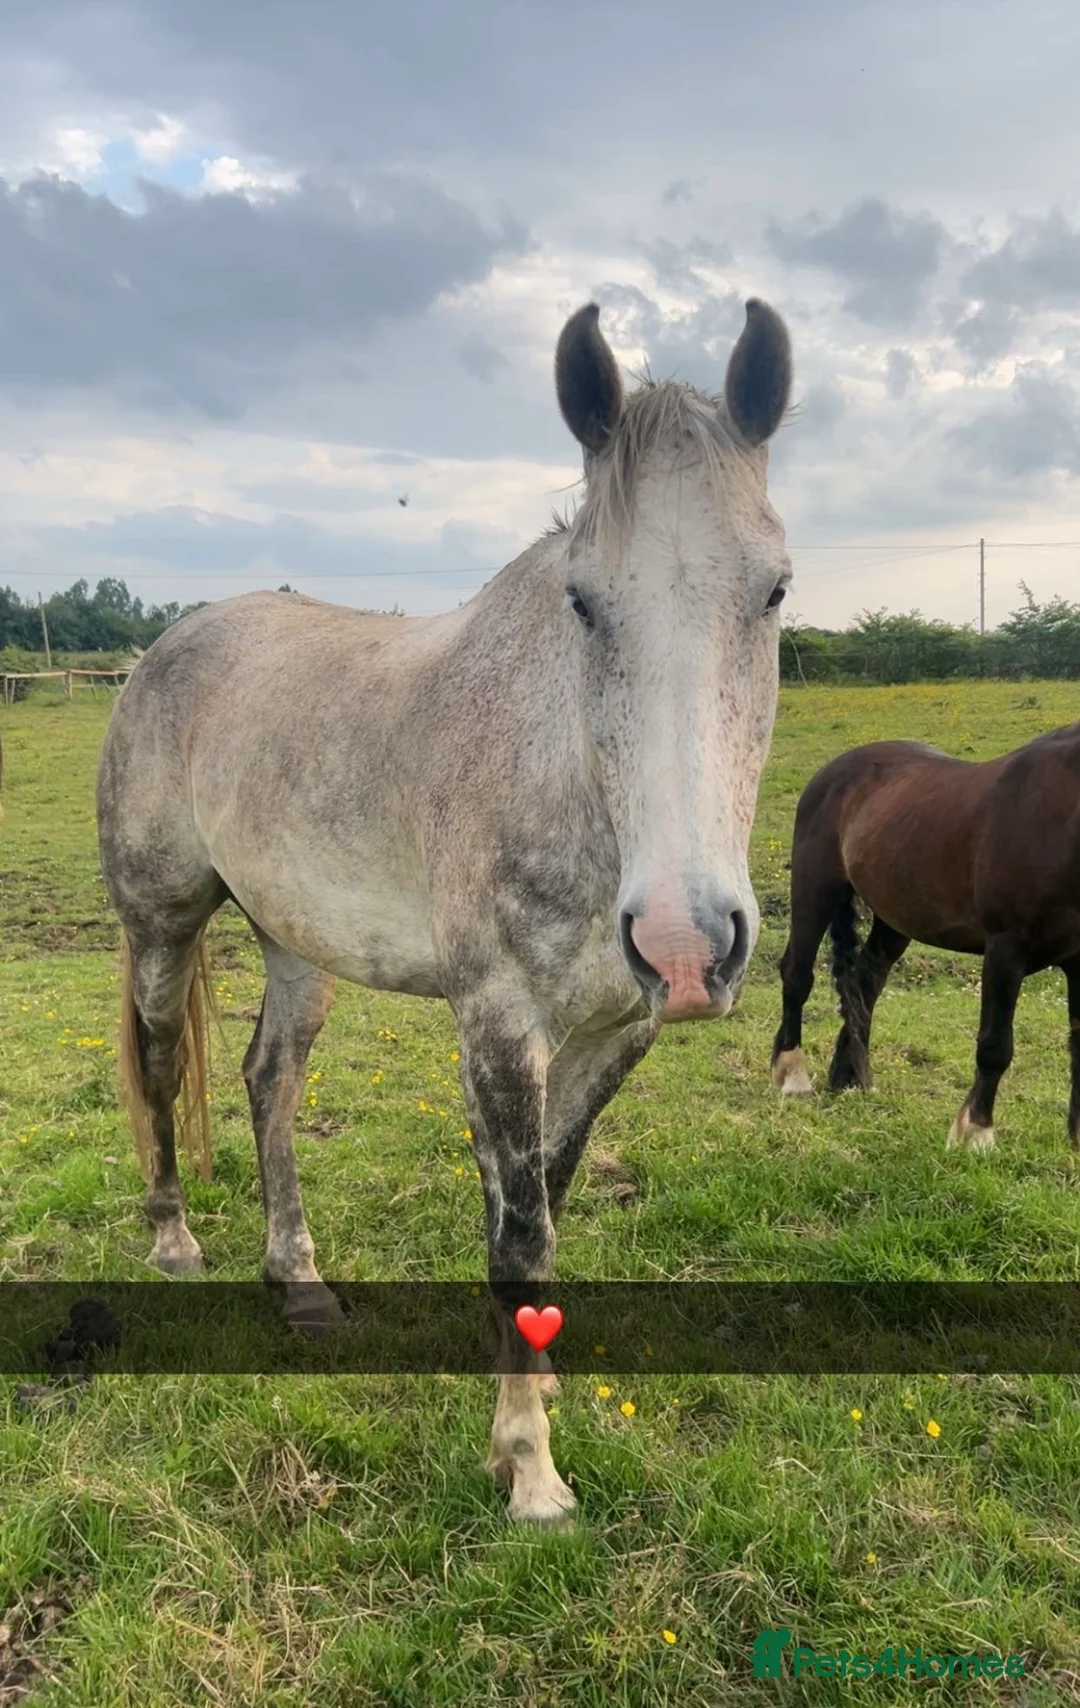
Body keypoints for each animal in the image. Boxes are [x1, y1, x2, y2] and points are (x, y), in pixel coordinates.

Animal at [97, 295, 794, 1526]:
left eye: (774, 590)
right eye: (583, 601)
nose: (684, 942)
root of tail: (163, 649)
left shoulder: (616, 1032)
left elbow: (547, 1199)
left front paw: (537, 1386)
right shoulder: (499, 1022)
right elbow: (519, 1231)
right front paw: (529, 1468)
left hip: (295, 942)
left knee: (269, 1081)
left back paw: (300, 1283)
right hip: (163, 922)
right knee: (162, 1058)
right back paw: (175, 1240)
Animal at [770, 726, 1080, 1151]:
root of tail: (832, 772)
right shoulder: (1006, 950)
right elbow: (995, 1046)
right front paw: (975, 1133)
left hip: (893, 920)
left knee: (863, 985)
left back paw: (851, 1076)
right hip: (814, 891)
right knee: (797, 976)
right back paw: (791, 1074)